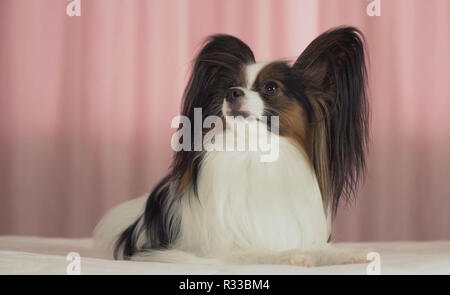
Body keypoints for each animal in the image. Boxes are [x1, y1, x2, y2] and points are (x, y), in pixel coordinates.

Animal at [94, 27, 370, 268]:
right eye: (230, 86)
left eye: (271, 87)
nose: (232, 93)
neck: (254, 151)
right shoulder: (222, 251)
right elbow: (261, 251)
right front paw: (291, 255)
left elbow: (320, 248)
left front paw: (348, 254)